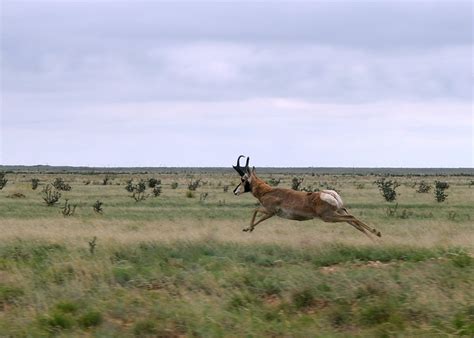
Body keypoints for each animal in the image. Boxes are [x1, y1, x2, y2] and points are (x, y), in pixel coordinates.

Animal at [233, 156, 382, 239]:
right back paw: (375, 237)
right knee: (354, 222)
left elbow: (255, 211)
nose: (235, 191)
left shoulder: (270, 212)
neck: (268, 191)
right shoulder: (270, 213)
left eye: (243, 179)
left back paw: (376, 234)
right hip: (338, 212)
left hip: (329, 217)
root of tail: (329, 194)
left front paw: (248, 228)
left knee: (352, 218)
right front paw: (248, 228)